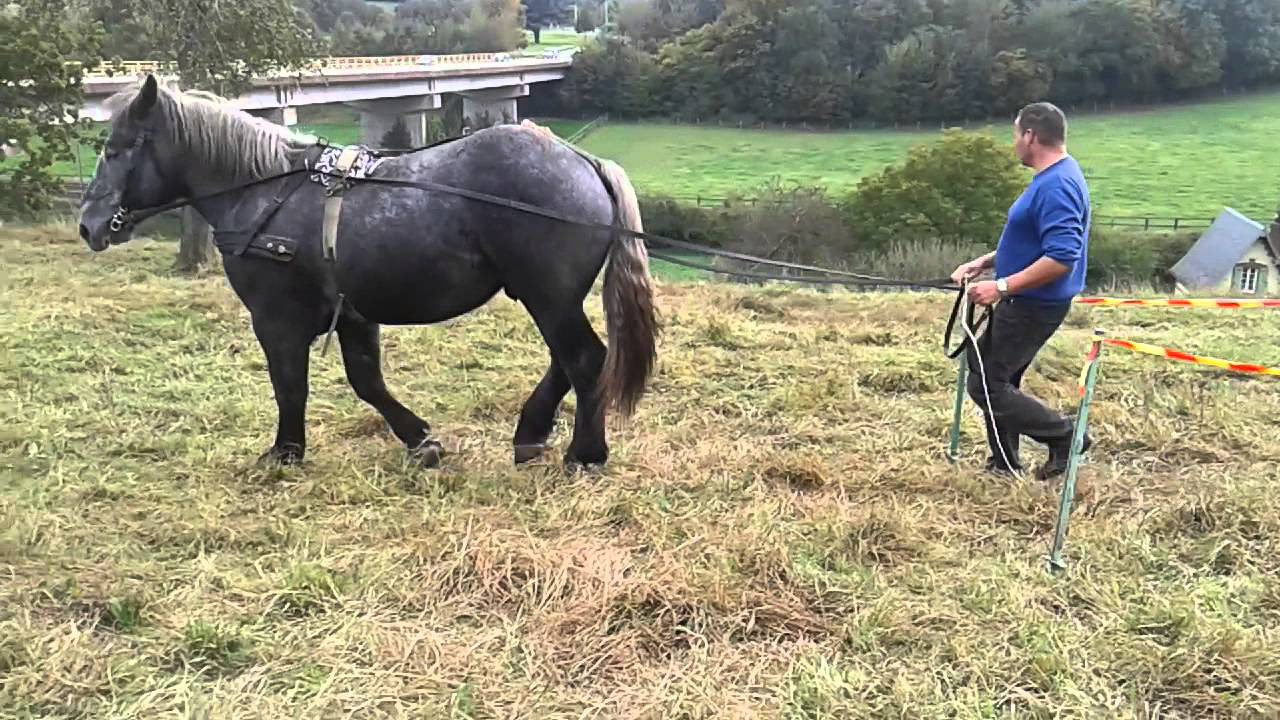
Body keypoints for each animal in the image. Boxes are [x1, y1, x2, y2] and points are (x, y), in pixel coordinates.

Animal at [77, 74, 659, 470]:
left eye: (116, 149)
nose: (88, 225)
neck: (266, 192)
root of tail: (585, 162)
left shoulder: (276, 320)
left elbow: (289, 384)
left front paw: (285, 451)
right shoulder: (353, 314)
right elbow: (367, 381)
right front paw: (420, 439)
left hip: (548, 294)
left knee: (583, 359)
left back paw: (585, 453)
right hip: (548, 295)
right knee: (567, 359)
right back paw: (532, 432)